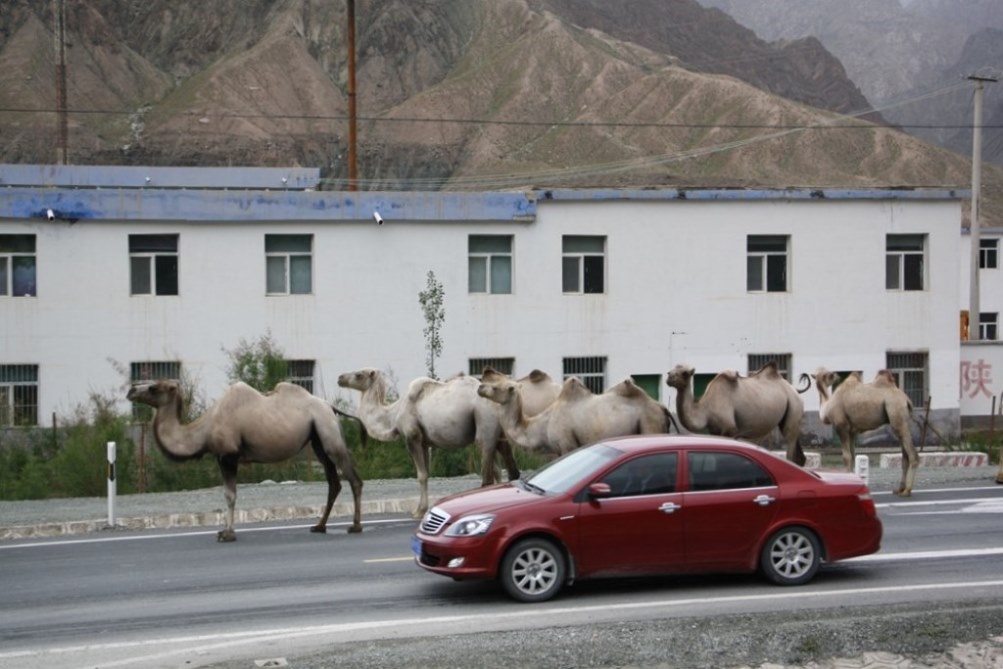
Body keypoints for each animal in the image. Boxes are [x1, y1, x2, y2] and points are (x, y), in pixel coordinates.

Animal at [123, 379, 363, 541]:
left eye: (154, 387)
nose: (131, 390)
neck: (204, 430)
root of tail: (331, 407)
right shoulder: (220, 457)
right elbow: (227, 494)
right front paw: (224, 530)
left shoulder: (229, 455)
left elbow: (230, 495)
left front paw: (228, 534)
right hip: (317, 439)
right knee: (334, 482)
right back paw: (319, 526)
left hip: (328, 432)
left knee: (353, 479)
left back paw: (355, 526)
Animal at [337, 367, 517, 517]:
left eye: (359, 374)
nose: (340, 378)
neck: (393, 414)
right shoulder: (424, 442)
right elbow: (427, 474)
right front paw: (423, 509)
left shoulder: (412, 437)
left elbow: (421, 475)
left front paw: (418, 511)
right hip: (498, 433)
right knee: (503, 467)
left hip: (484, 423)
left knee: (488, 468)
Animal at [477, 375, 674, 457]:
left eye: (495, 387)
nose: (480, 387)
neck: (542, 426)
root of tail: (661, 407)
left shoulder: (567, 443)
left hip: (649, 423)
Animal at [661, 361, 810, 465]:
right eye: (672, 370)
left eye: (685, 373)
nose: (669, 377)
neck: (706, 409)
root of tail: (793, 389)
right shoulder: (714, 430)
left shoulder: (730, 429)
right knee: (799, 454)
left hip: (794, 405)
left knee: (790, 440)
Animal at [814, 367, 918, 497]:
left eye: (831, 375)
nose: (837, 376)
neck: (827, 405)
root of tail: (906, 400)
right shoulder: (851, 431)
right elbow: (852, 455)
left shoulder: (841, 426)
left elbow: (846, 457)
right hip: (902, 420)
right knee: (905, 455)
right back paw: (900, 489)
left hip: (896, 412)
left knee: (912, 454)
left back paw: (907, 490)